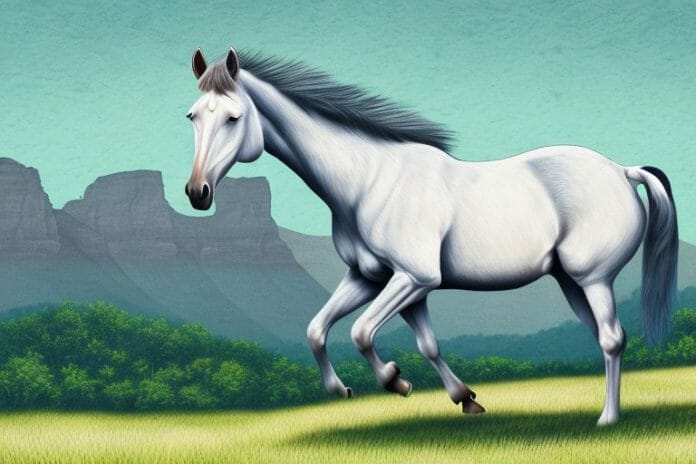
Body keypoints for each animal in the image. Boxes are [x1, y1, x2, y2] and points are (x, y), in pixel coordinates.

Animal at [183, 47, 678, 426]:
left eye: (233, 118)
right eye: (192, 116)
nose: (197, 192)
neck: (368, 181)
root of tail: (622, 171)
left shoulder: (413, 278)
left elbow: (361, 332)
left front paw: (396, 381)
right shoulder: (376, 279)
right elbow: (326, 331)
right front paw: (460, 398)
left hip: (594, 279)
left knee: (612, 339)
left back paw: (607, 419)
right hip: (570, 283)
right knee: (603, 337)